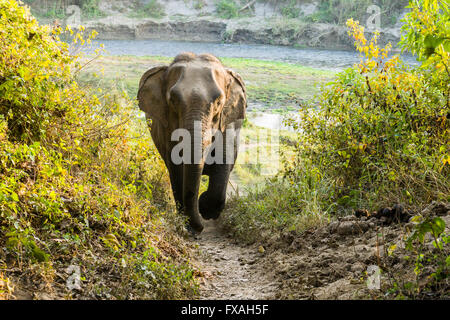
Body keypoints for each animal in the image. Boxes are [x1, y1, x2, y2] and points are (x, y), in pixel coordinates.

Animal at [137, 52, 246, 232]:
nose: (200, 227)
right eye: (173, 100)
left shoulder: (227, 123)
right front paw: (187, 221)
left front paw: (205, 208)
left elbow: (224, 160)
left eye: (218, 102)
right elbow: (175, 168)